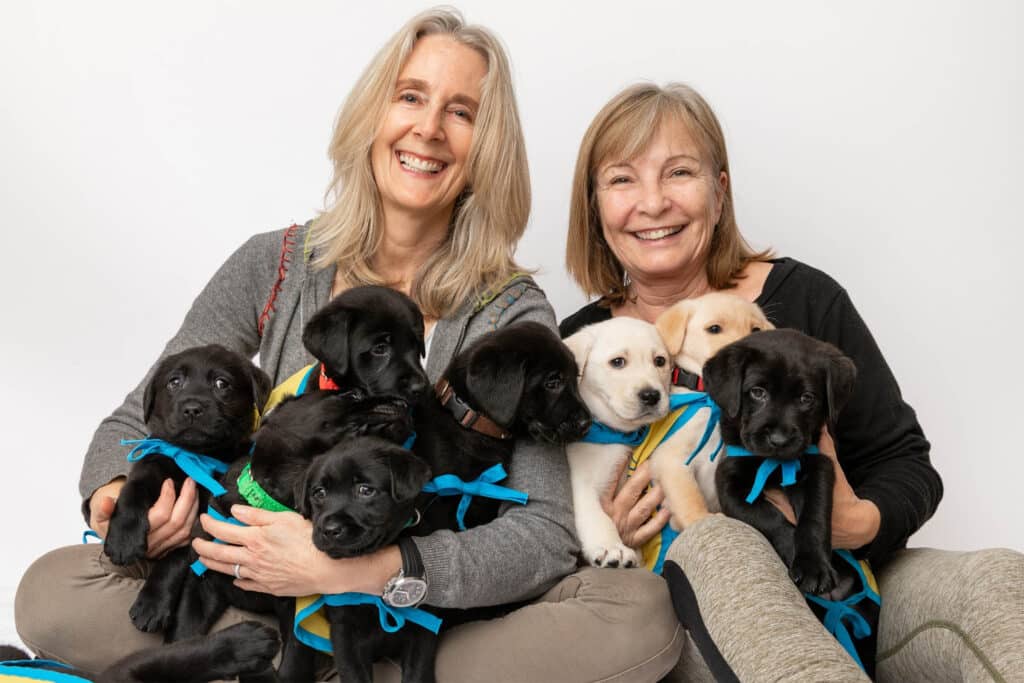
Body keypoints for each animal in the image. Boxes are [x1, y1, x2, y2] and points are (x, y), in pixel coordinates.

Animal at [103, 348, 270, 643]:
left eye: (222, 384)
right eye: (174, 382)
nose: (192, 408)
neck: (195, 456)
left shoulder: (204, 525)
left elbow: (175, 558)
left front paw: (151, 604)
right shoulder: (153, 464)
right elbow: (131, 492)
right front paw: (123, 540)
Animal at [561, 317, 671, 569]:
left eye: (660, 361)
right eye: (618, 362)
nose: (651, 395)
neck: (617, 432)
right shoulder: (581, 483)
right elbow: (597, 516)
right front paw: (611, 547)